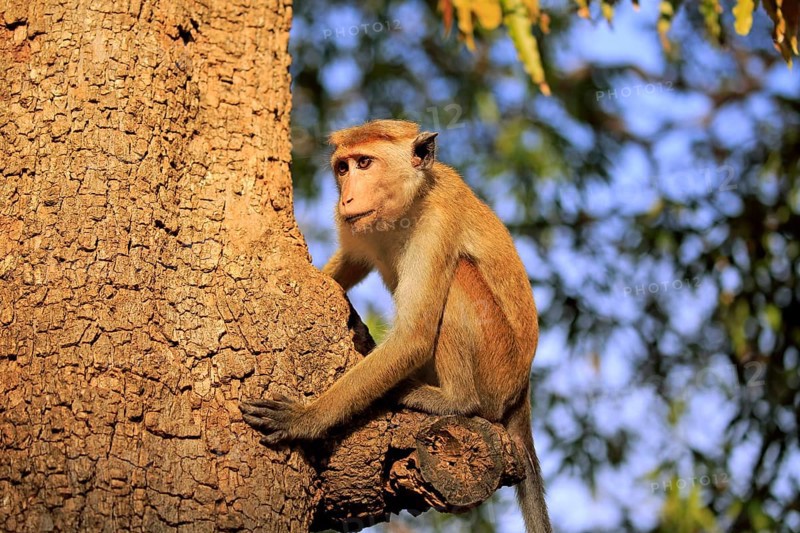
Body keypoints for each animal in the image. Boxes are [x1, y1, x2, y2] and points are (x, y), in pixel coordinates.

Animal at [240, 120, 552, 533]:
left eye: (365, 163)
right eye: (343, 168)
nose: (347, 198)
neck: (409, 203)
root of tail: (522, 388)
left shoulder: (437, 225)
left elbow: (413, 337)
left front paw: (306, 418)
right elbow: (349, 266)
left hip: (496, 370)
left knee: (459, 275)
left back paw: (454, 399)